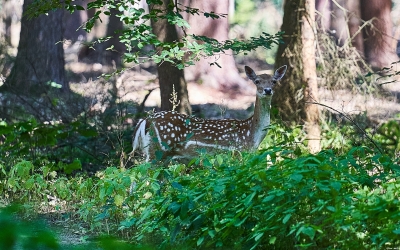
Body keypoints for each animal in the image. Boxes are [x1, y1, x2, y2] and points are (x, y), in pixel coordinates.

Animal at [132, 65, 288, 162]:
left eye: (274, 81)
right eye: (257, 81)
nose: (267, 90)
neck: (252, 135)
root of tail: (145, 121)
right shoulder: (238, 152)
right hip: (158, 150)